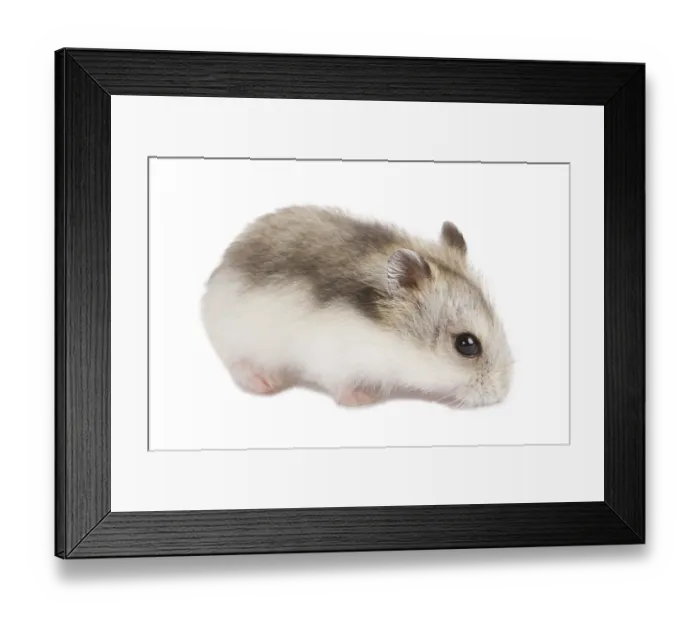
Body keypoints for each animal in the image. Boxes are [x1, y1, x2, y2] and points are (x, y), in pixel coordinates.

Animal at [201, 206, 513, 408]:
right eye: (466, 344)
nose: (501, 394)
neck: (390, 340)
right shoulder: (331, 361)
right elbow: (341, 385)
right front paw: (365, 399)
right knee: (238, 365)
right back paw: (265, 383)